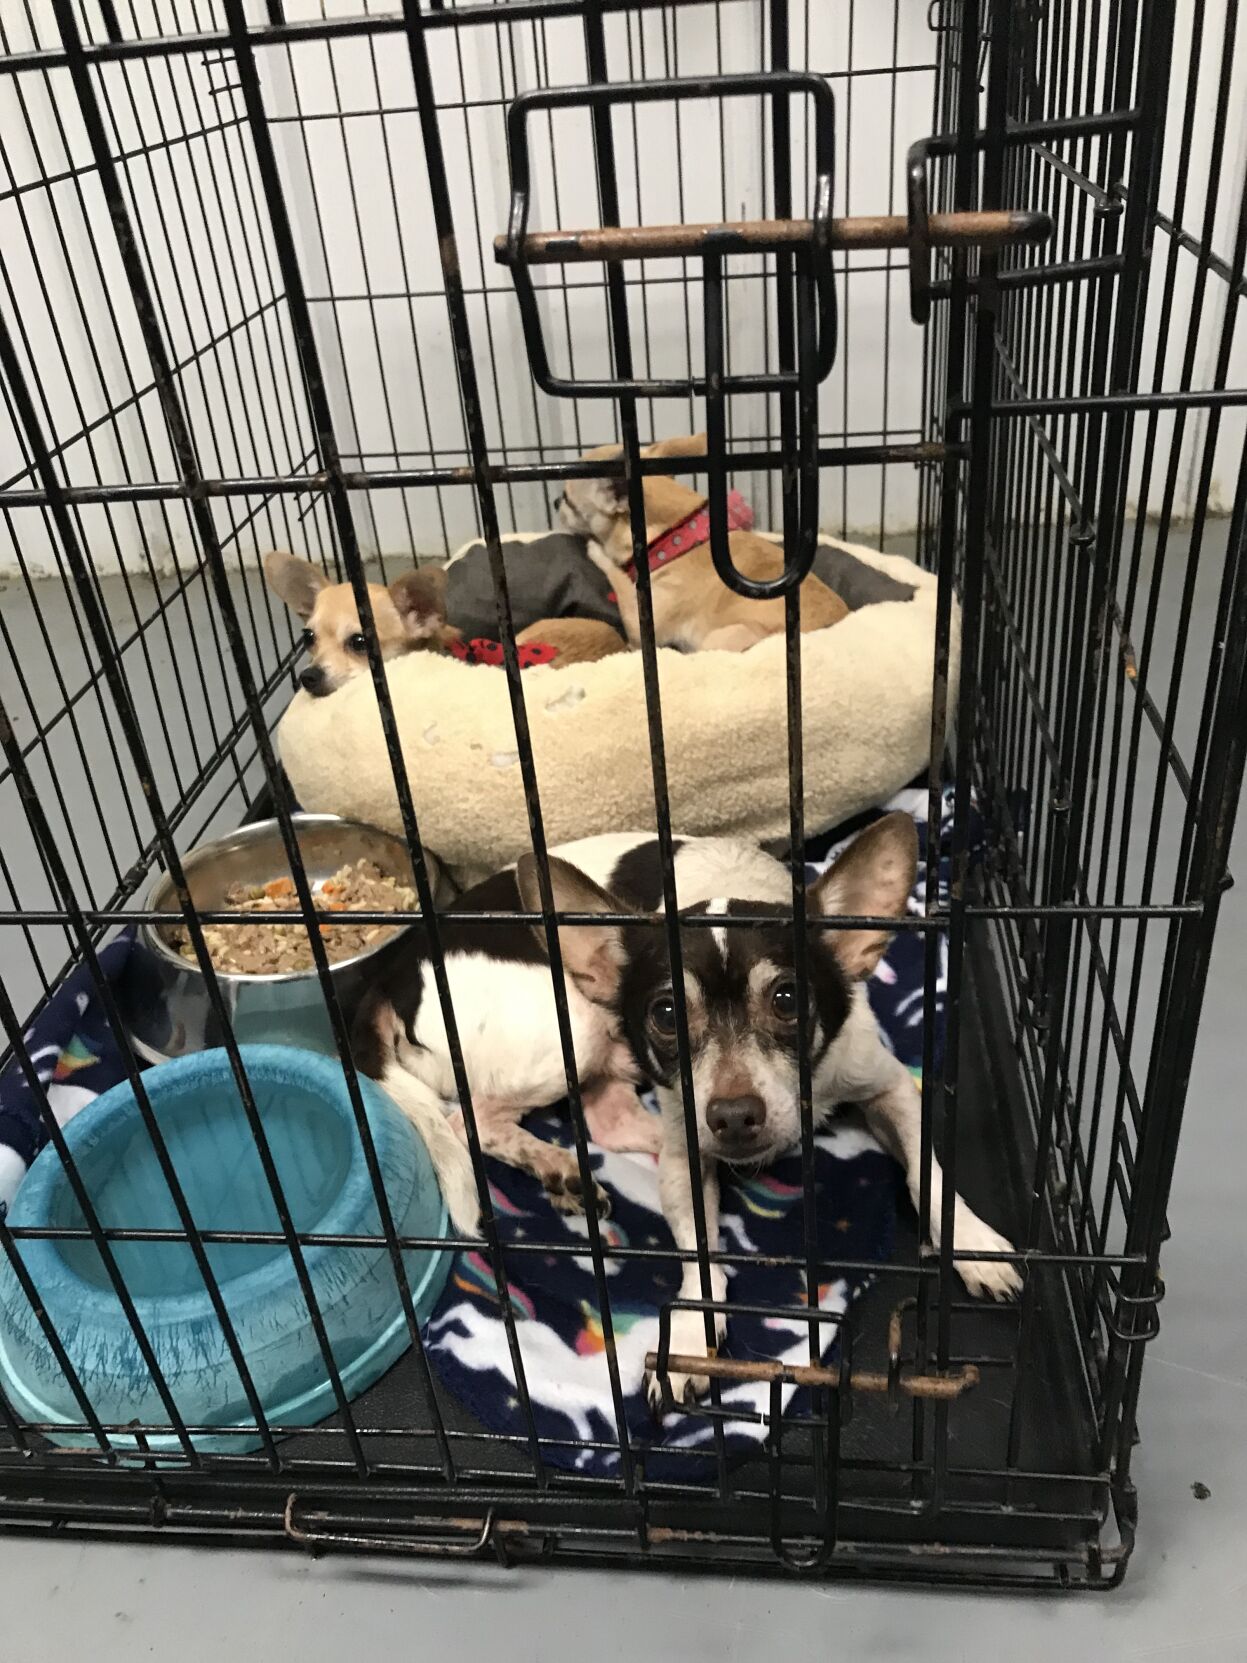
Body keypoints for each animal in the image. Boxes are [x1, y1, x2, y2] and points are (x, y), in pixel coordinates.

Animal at [561, 432, 857, 651]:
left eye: (566, 500)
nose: (554, 502)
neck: (676, 534)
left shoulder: (642, 621)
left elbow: (619, 576)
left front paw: (596, 549)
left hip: (726, 636)